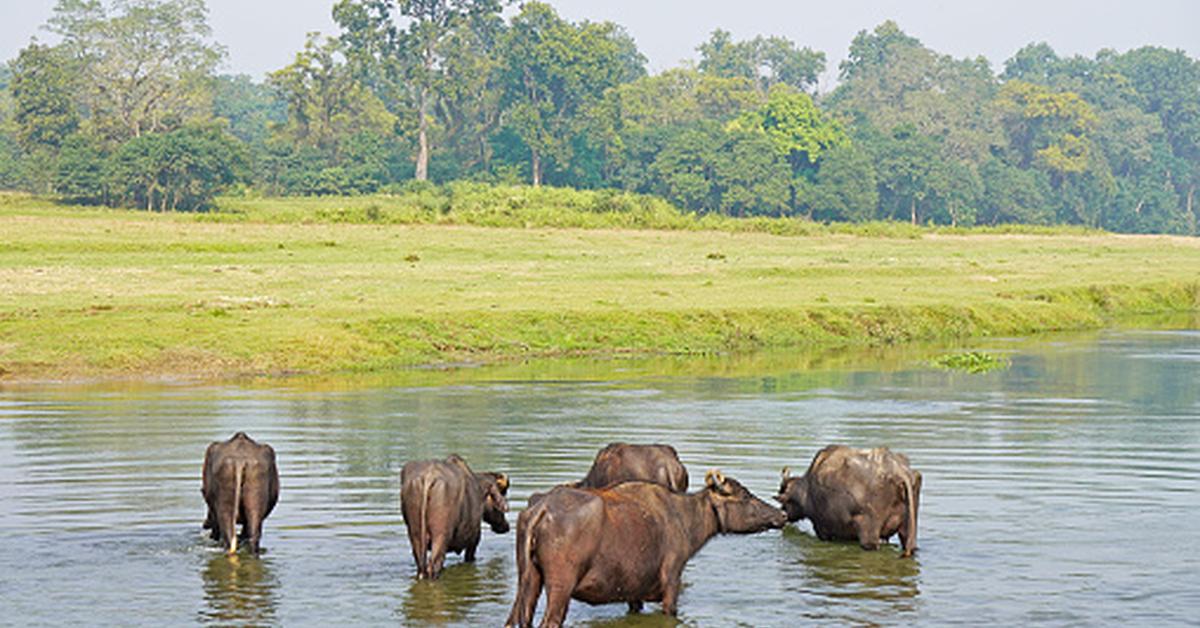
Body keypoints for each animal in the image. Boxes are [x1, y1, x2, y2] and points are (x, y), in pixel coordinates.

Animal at [403, 451, 511, 581]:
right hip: (441, 536)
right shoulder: (474, 540)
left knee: (422, 568)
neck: (481, 489)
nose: (506, 526)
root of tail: (429, 478)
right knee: (434, 565)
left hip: (415, 536)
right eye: (502, 492)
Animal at [504, 468, 787, 624]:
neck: (686, 519)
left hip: (528, 579)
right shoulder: (671, 582)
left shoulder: (634, 593)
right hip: (560, 586)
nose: (782, 515)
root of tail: (540, 509)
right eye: (745, 495)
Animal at [772, 444, 921, 557]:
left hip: (869, 535)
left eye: (785, 503)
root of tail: (900, 472)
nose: (783, 516)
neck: (805, 492)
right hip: (909, 530)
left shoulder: (822, 529)